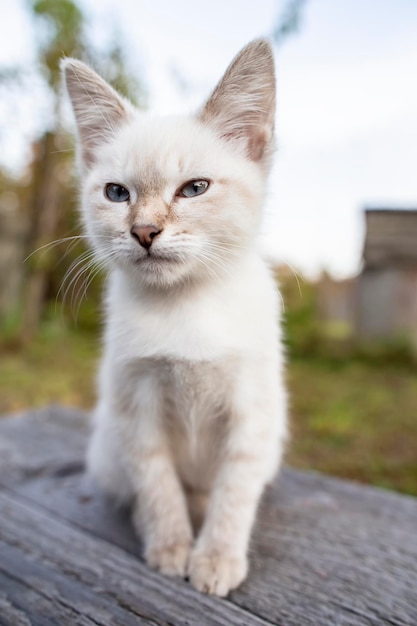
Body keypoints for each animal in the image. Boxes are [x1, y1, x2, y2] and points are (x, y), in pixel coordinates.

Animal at [61, 39, 288, 596]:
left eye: (195, 188)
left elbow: (233, 491)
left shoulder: (252, 411)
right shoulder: (135, 407)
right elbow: (157, 482)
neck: (186, 305)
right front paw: (170, 548)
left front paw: (215, 558)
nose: (144, 231)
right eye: (116, 193)